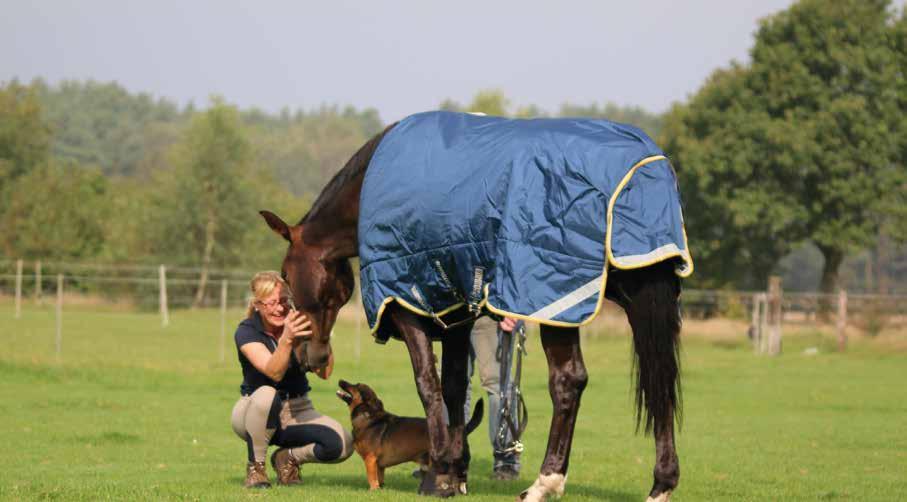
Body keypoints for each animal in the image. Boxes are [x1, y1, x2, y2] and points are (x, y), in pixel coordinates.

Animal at [338, 380, 482, 490]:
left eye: (356, 385)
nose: (341, 380)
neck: (368, 418)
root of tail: (454, 431)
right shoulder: (379, 464)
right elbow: (380, 478)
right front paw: (381, 489)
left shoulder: (370, 459)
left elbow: (372, 478)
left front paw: (373, 490)